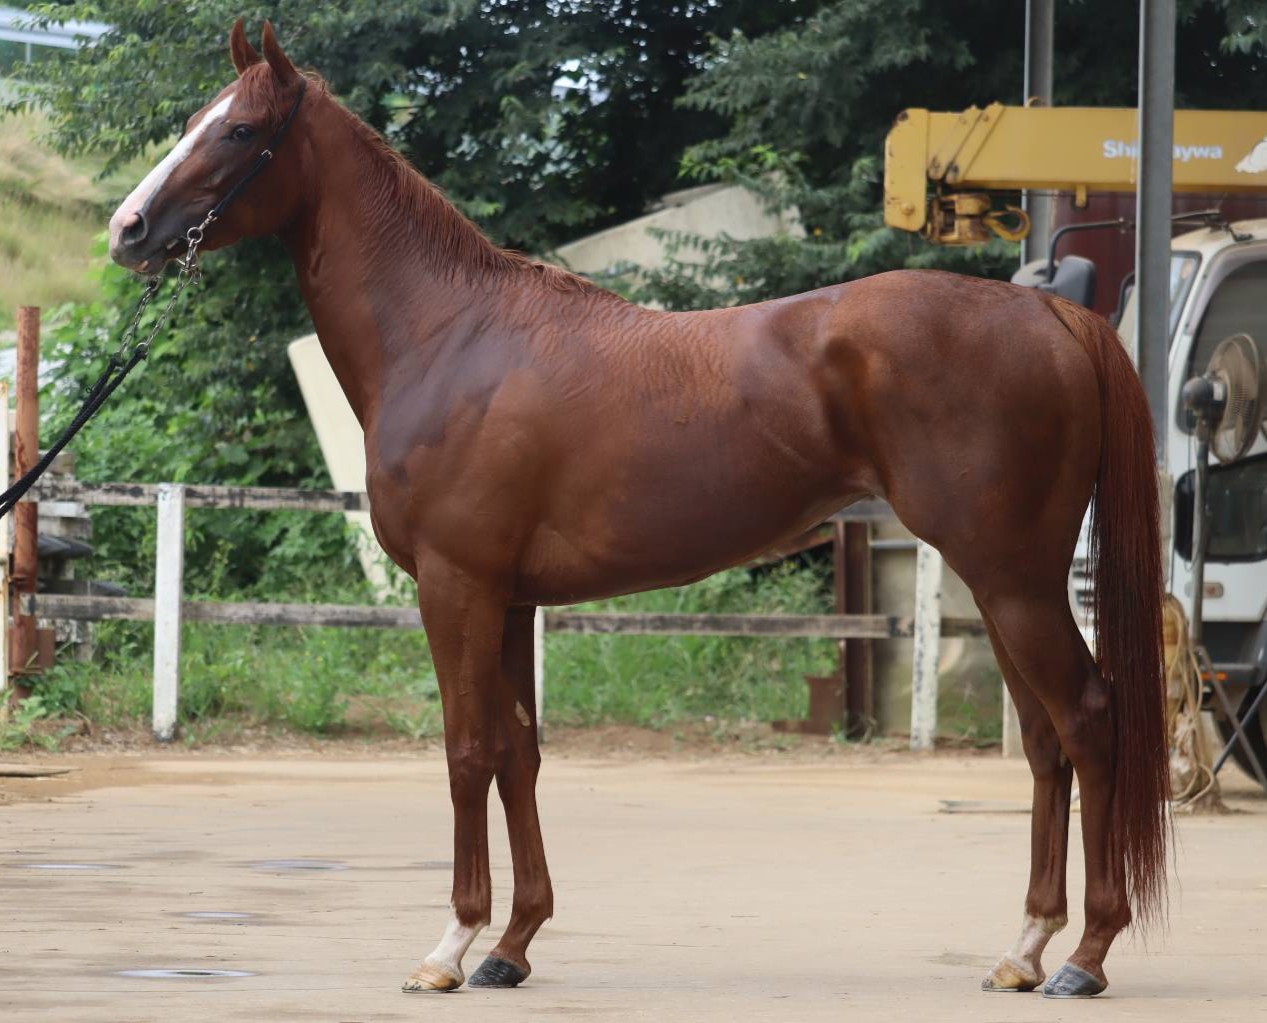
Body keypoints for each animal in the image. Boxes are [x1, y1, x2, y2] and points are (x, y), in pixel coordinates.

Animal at [107, 20, 1168, 999]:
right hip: (1002, 582)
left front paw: (450, 947)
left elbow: (464, 751)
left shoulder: (456, 587)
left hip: (1010, 576)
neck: (447, 337)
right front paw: (511, 945)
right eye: (193, 121)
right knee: (1043, 740)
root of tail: (1046, 311)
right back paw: (1023, 949)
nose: (127, 231)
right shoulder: (509, 600)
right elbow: (518, 754)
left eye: (239, 130)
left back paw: (1084, 955)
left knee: (1085, 720)